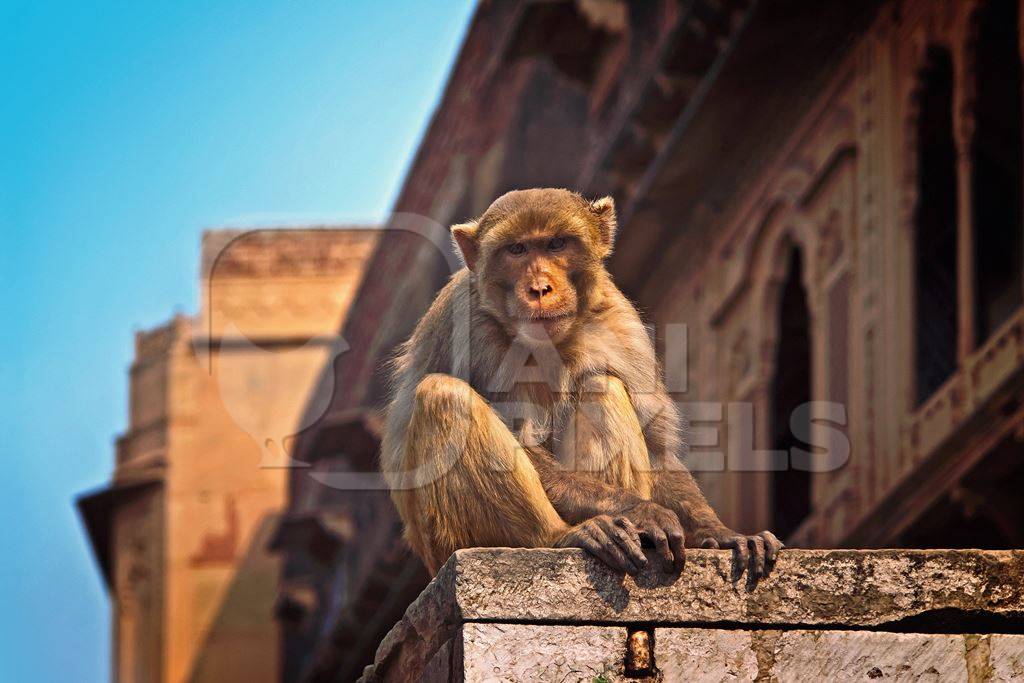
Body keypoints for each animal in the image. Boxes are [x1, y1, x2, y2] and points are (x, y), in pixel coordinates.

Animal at [380, 188, 778, 581]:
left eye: (556, 244)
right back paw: (561, 536)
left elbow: (656, 444)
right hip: (444, 543)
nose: (540, 288)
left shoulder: (622, 323)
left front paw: (719, 533)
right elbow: (521, 437)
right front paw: (640, 510)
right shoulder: (468, 327)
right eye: (517, 249)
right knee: (444, 396)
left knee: (603, 385)